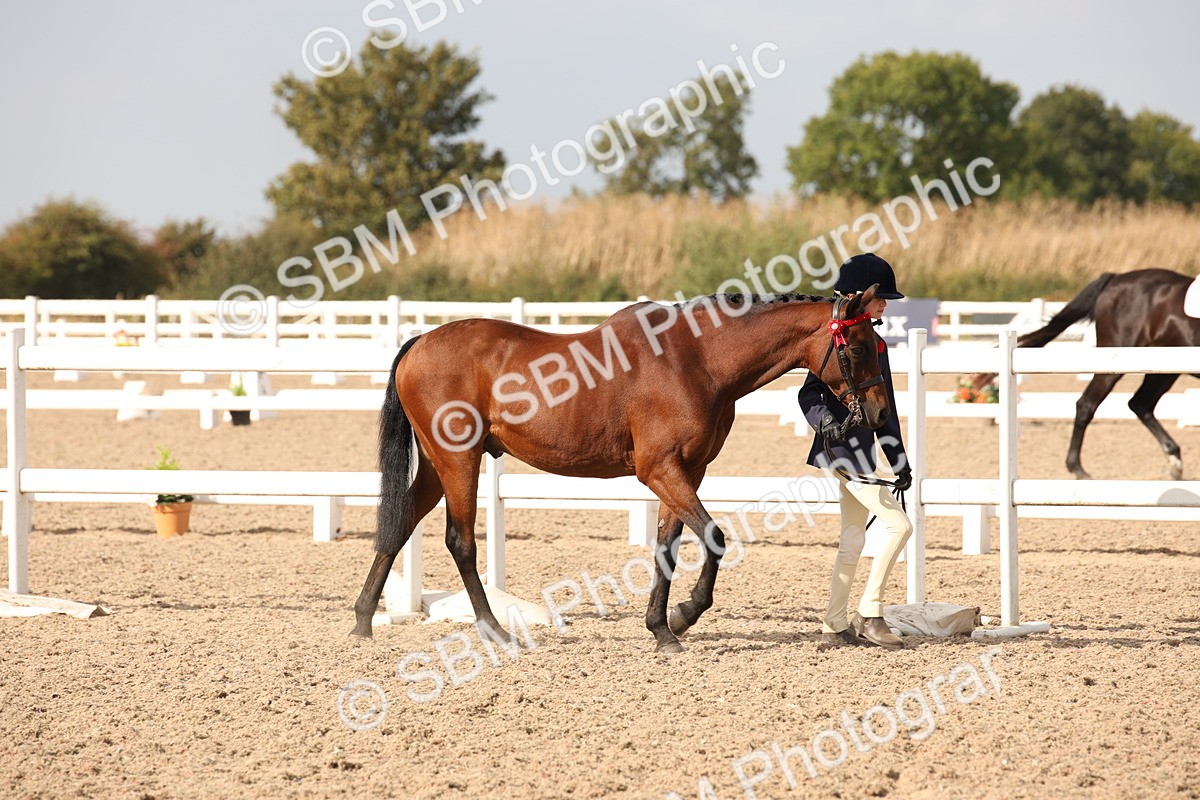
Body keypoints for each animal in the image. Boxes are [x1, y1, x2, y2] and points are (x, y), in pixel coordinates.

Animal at [350, 287, 892, 653]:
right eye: (859, 347)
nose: (879, 414)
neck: (697, 359)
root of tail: (421, 341)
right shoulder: (660, 470)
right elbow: (714, 537)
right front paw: (686, 613)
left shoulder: (686, 472)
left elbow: (667, 547)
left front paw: (662, 628)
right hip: (459, 461)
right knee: (460, 541)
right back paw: (495, 630)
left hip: (437, 467)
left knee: (400, 525)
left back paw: (362, 620)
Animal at [973, 268, 1200, 480]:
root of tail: (1116, 278)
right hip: (1115, 361)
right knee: (1088, 404)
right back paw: (1078, 468)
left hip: (1162, 370)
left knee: (1141, 403)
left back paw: (1174, 462)